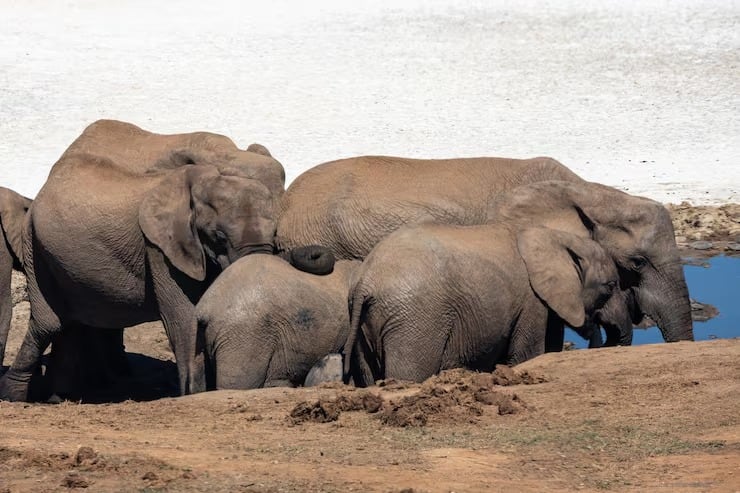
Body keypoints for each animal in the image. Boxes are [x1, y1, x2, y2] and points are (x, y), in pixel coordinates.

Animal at [0, 151, 332, 402]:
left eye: (274, 233)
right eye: (218, 236)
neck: (201, 182)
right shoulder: (160, 247)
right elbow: (184, 316)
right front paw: (195, 396)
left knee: (72, 325)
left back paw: (59, 399)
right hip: (35, 246)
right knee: (50, 323)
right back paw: (15, 397)